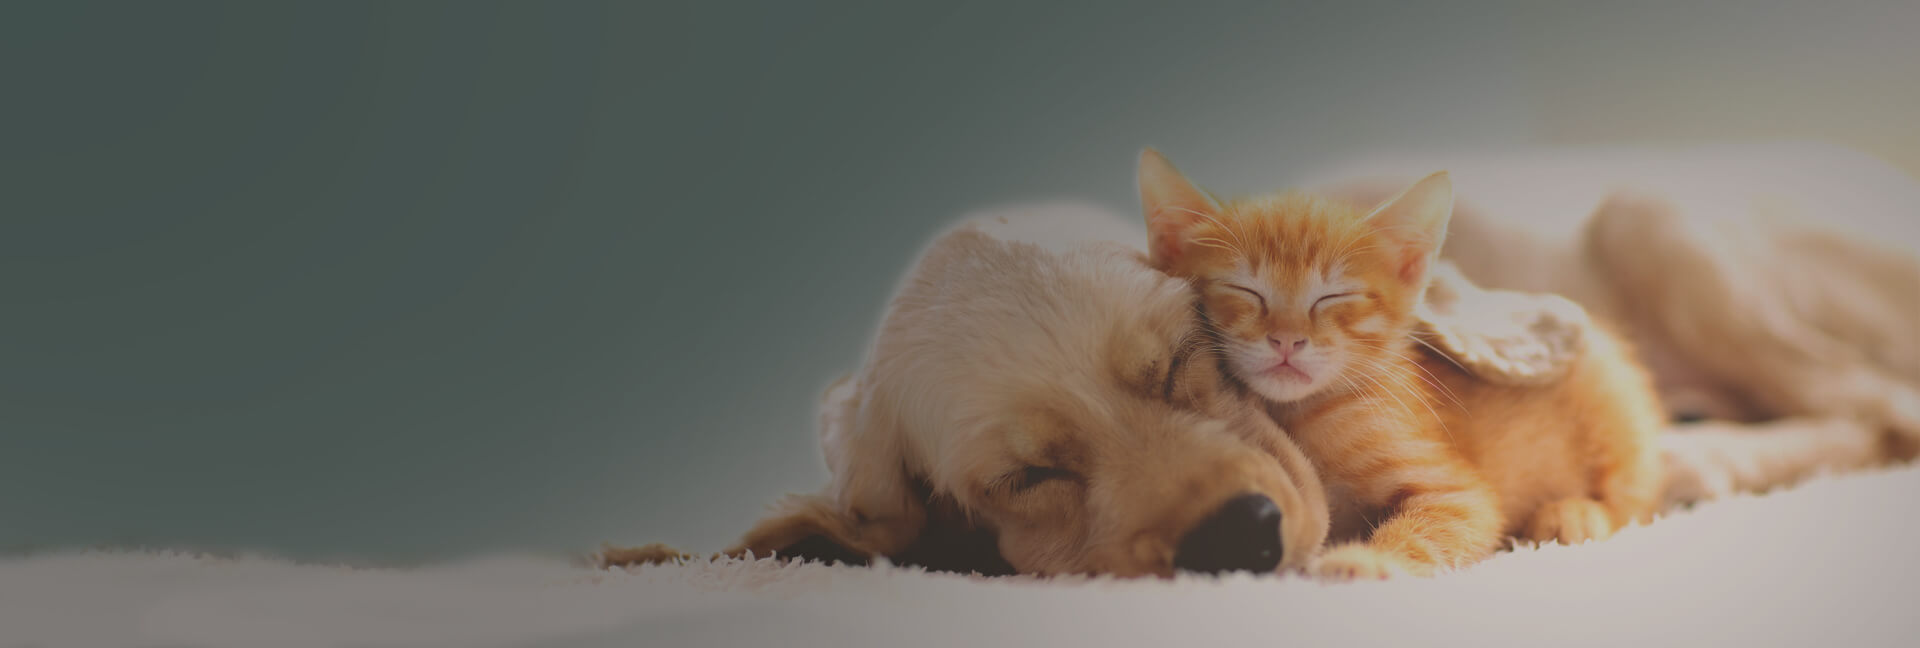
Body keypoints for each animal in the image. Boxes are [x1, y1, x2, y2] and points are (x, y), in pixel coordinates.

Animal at [1136, 149, 1666, 578]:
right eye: (1244, 289)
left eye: (1333, 296)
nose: (1286, 338)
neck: (1301, 415)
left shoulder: (1456, 492)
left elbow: (1432, 525)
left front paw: (1365, 561)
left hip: (1613, 416)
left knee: (1635, 497)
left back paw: (1574, 513)